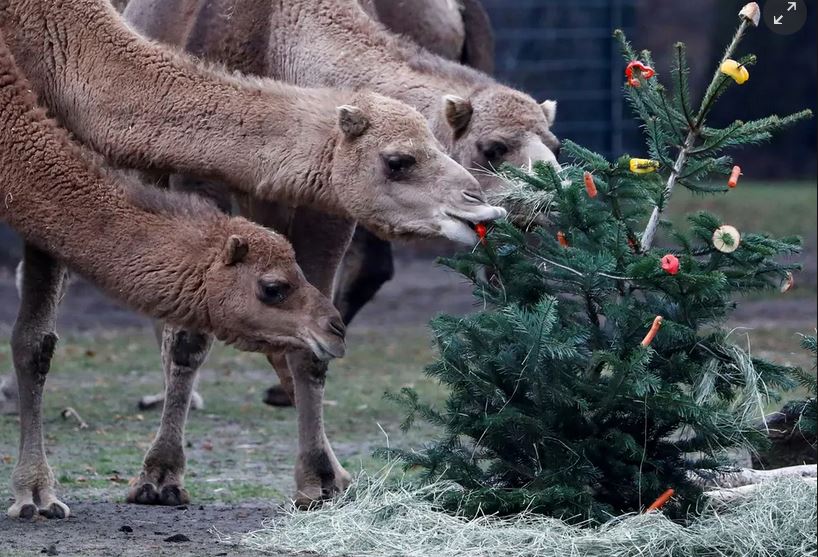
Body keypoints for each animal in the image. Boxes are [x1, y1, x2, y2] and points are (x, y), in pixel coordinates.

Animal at [124, 0, 556, 506]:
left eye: (554, 144)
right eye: (493, 147)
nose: (553, 193)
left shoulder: (328, 204)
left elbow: (312, 335)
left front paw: (321, 478)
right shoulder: (198, 175)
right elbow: (190, 332)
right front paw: (159, 476)